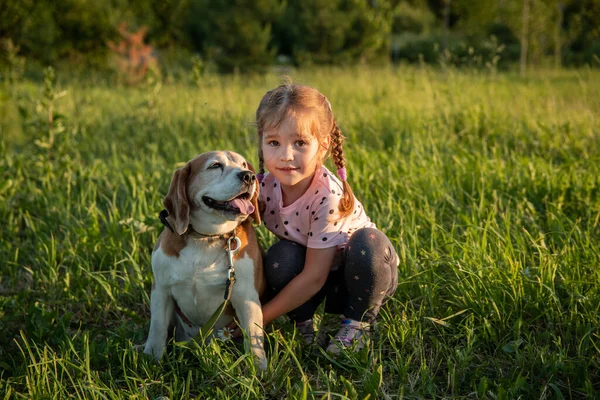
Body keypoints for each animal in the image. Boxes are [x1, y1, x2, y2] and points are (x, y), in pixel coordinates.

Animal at [142, 152, 266, 370]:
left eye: (244, 164)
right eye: (215, 166)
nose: (249, 176)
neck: (207, 238)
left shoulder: (246, 296)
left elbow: (253, 335)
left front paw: (259, 369)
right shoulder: (161, 291)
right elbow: (157, 328)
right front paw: (152, 359)